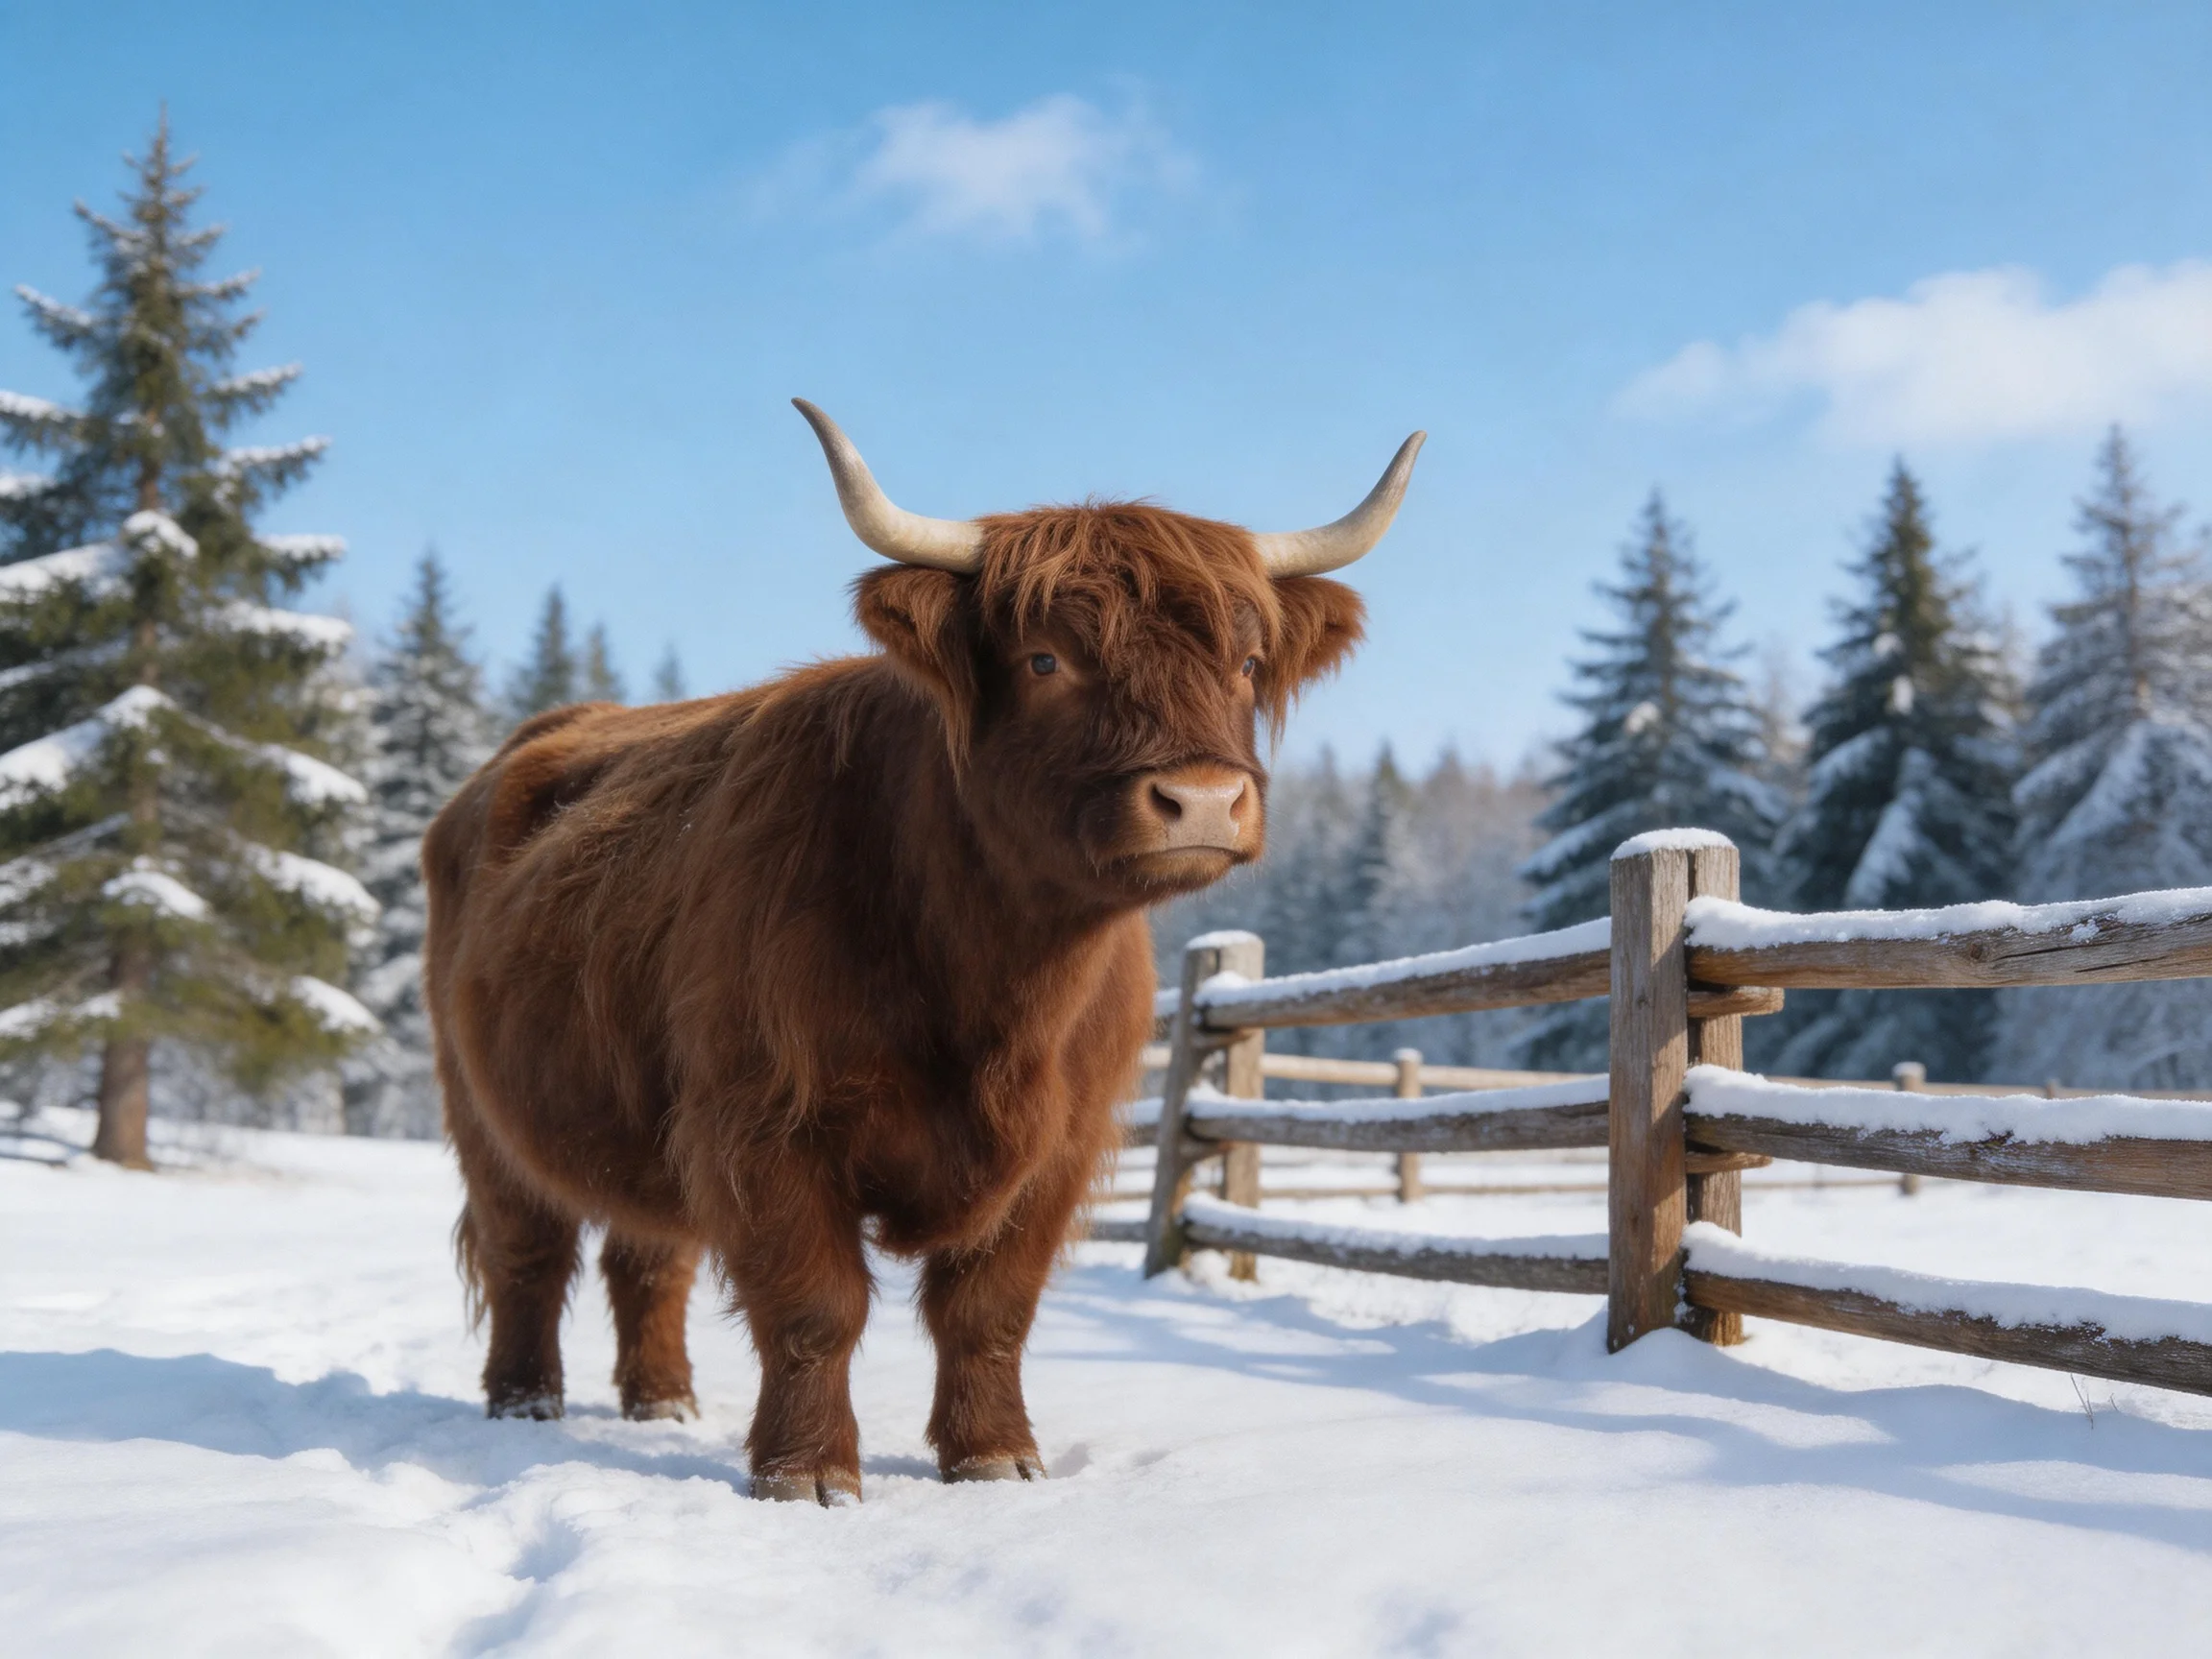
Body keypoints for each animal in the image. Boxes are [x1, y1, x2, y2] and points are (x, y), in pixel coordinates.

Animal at [423, 401, 1422, 1502]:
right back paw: (526, 1403)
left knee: (649, 1257)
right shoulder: (760, 1123)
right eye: (1044, 660)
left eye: (1246, 663)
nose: (1202, 799)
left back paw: (664, 1402)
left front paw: (994, 1456)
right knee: (528, 1253)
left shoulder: (1058, 1149)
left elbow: (989, 1310)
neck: (993, 981)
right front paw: (808, 1474)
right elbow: (816, 1307)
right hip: (484, 1111)